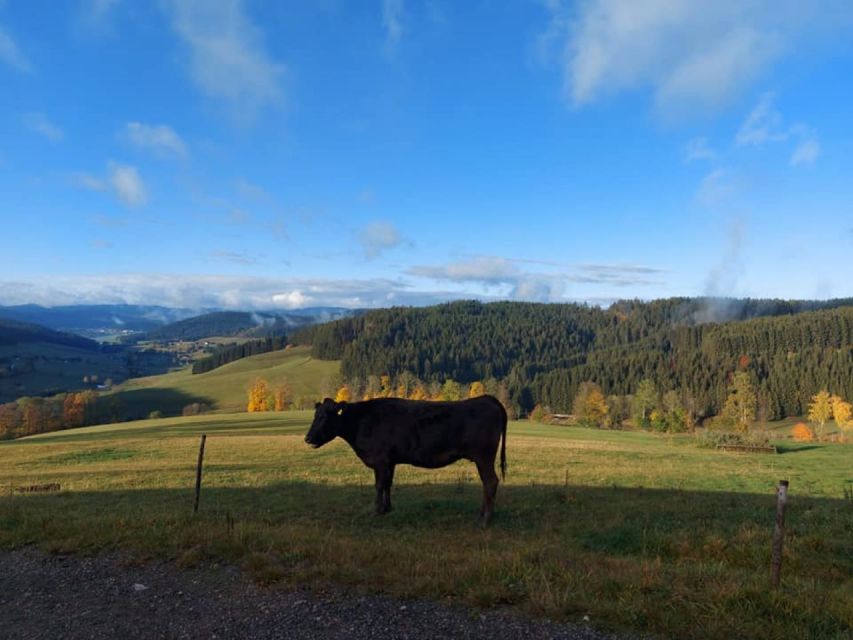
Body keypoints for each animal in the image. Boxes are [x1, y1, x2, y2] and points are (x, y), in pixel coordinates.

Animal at [304, 396, 506, 524]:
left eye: (324, 416)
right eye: (315, 415)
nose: (308, 438)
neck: (361, 422)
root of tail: (488, 398)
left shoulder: (379, 460)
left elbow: (378, 485)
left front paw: (376, 511)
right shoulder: (389, 462)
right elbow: (387, 484)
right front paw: (387, 509)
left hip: (484, 456)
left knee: (490, 482)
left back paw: (485, 519)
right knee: (487, 483)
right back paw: (482, 514)